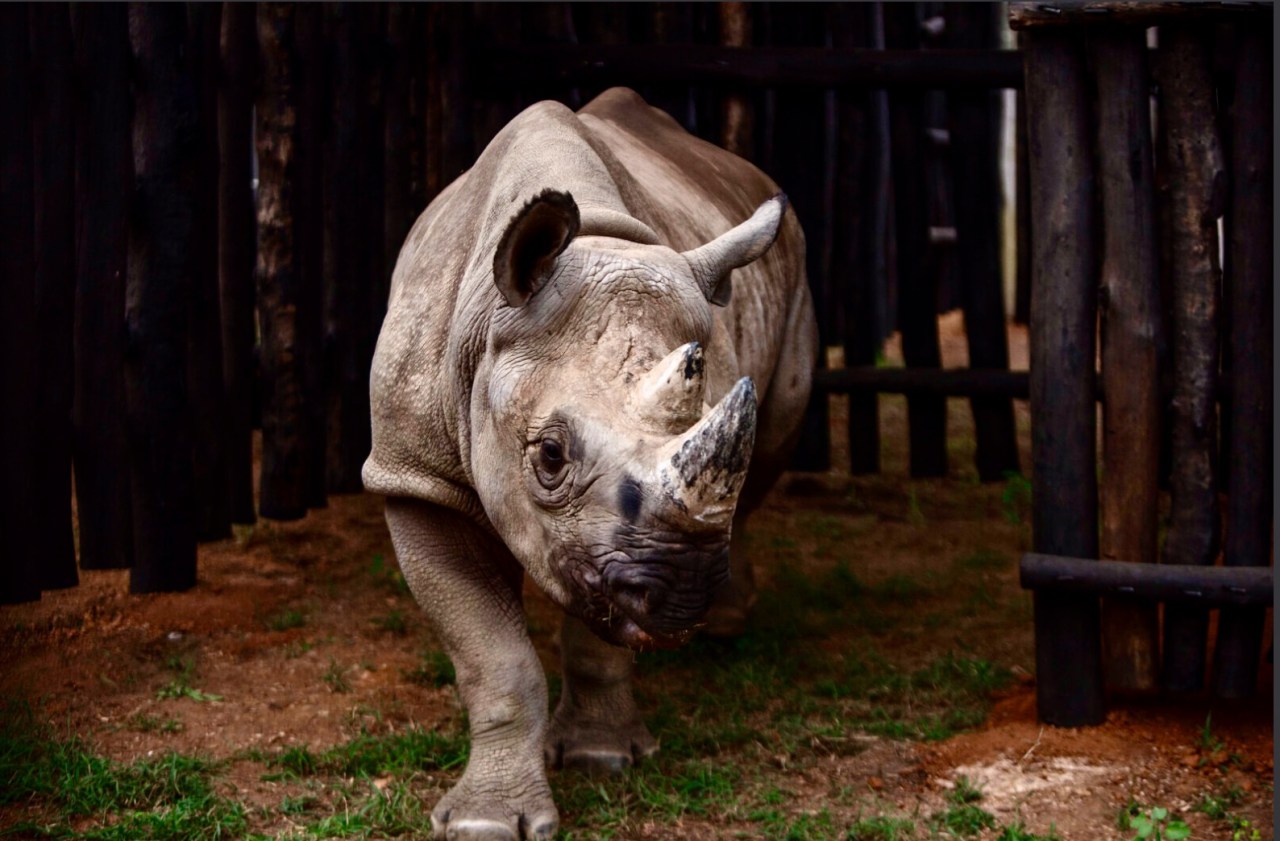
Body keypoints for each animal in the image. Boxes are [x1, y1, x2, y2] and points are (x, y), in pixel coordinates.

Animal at [363, 87, 817, 840]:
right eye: (549, 455)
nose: (680, 593)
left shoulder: (614, 542)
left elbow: (599, 632)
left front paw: (600, 758)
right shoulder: (412, 477)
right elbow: (494, 658)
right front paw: (486, 823)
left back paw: (727, 622)